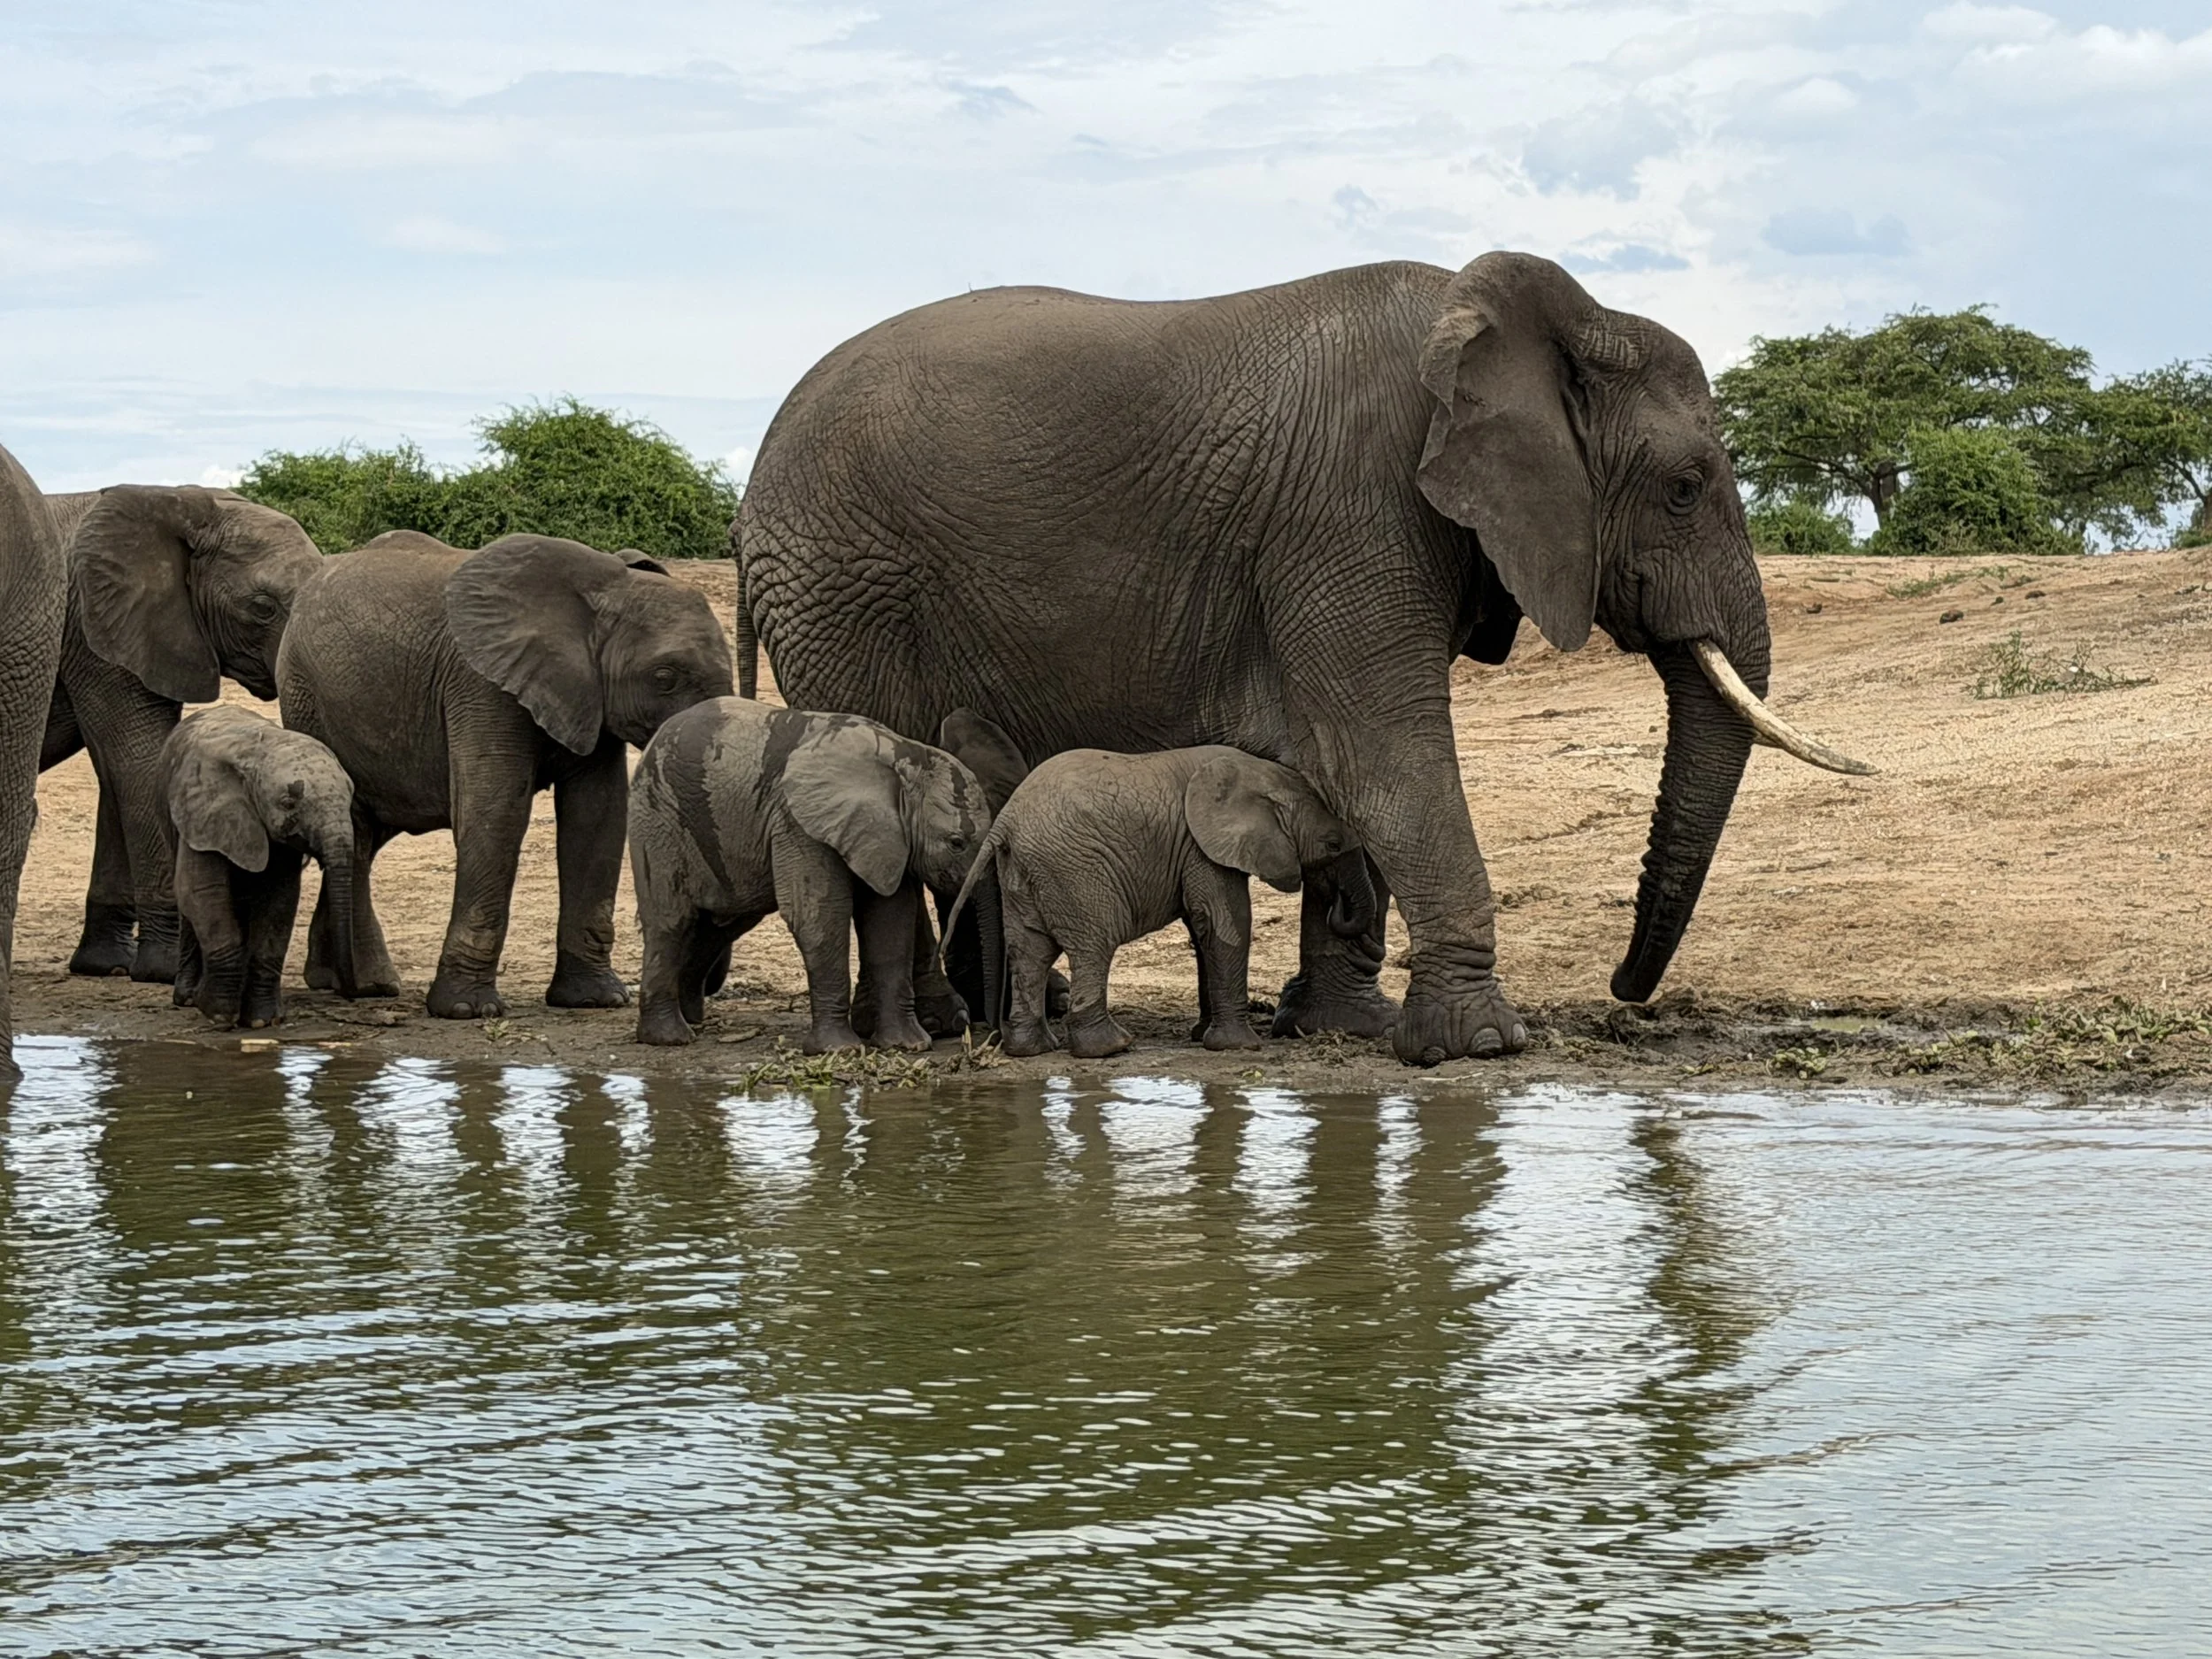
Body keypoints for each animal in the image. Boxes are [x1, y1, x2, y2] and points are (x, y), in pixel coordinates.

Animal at [38, 485, 323, 982]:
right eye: (262, 608)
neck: (178, 501)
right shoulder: (95, 630)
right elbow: (138, 764)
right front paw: (166, 970)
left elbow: (120, 776)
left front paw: (106, 966)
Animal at [160, 706, 357, 1029]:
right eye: (289, 803)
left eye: (351, 797)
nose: (351, 994)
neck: (258, 754)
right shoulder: (203, 813)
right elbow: (202, 892)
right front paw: (218, 1013)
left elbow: (279, 901)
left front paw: (261, 1021)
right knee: (190, 906)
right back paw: (188, 998)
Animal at [276, 530, 732, 1018]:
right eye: (665, 677)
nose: (703, 987)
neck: (602, 589)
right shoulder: (481, 684)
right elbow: (496, 814)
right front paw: (467, 1010)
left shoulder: (591, 698)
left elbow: (597, 820)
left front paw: (595, 1000)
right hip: (308, 698)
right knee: (356, 830)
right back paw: (368, 987)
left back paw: (340, 982)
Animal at [628, 697, 993, 1052]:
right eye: (957, 843)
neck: (905, 755)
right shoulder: (798, 822)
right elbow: (820, 915)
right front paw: (839, 1051)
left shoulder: (892, 838)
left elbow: (891, 922)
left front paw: (909, 1046)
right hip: (659, 818)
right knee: (672, 921)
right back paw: (670, 1037)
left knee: (722, 924)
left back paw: (691, 1018)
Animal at [940, 746, 1373, 1059]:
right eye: (1332, 844)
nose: (1335, 905)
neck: (1257, 771)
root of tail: (1005, 821)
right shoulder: (1202, 848)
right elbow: (1226, 925)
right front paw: (1241, 1046)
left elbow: (1203, 933)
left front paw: (1202, 1036)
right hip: (1076, 871)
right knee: (1094, 946)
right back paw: (1111, 1048)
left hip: (1023, 872)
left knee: (1029, 951)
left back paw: (1031, 1050)